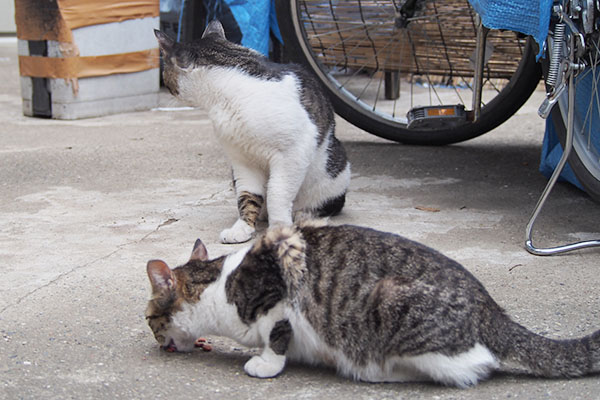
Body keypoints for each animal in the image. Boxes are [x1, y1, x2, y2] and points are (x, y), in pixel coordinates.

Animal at [144, 222, 600, 388]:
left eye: (150, 320)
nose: (157, 342)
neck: (217, 285)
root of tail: (491, 309)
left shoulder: (277, 295)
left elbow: (277, 337)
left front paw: (266, 363)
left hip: (392, 302)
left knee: (473, 366)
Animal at [155, 21, 352, 245]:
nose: (167, 88)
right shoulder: (242, 160)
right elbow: (247, 195)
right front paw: (243, 227)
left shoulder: (293, 153)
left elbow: (277, 193)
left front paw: (279, 228)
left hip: (334, 172)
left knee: (324, 204)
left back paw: (306, 215)